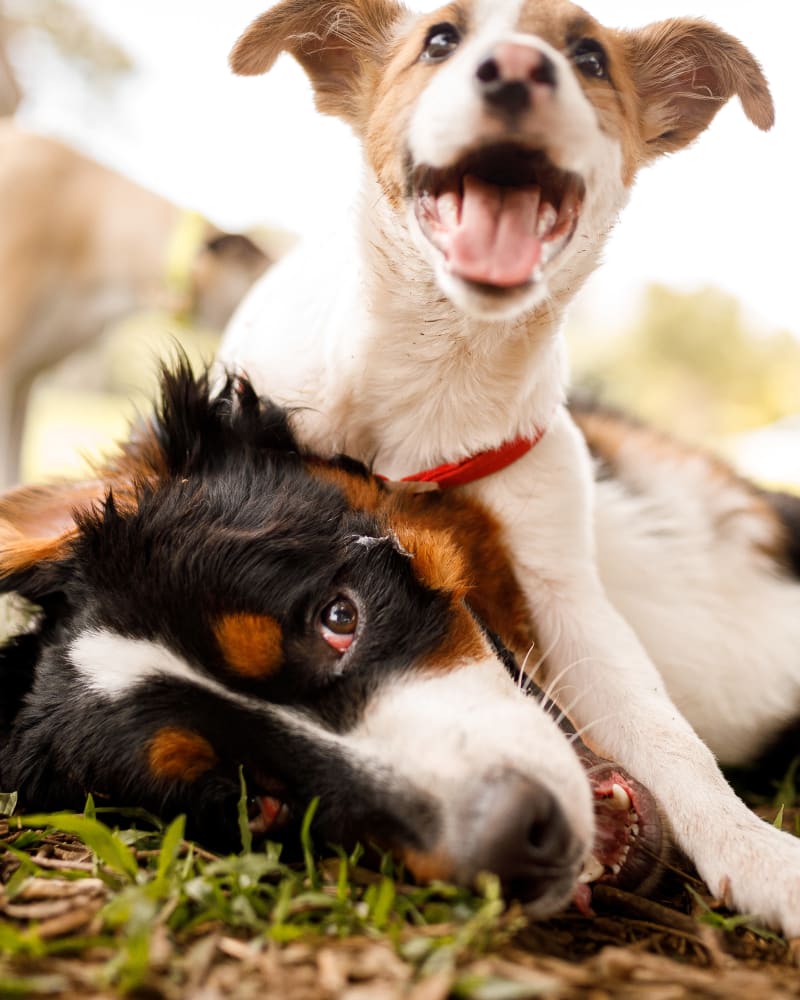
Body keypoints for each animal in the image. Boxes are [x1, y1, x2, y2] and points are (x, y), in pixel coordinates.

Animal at [216, 0, 800, 936]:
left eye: (590, 56)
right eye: (440, 40)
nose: (518, 70)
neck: (440, 372)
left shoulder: (565, 597)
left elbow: (665, 732)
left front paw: (753, 849)